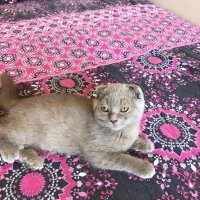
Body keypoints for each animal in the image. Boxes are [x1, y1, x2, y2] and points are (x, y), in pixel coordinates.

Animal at [0, 73, 155, 178]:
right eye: (104, 109)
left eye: (124, 109)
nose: (113, 120)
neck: (122, 131)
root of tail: (18, 102)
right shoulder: (96, 154)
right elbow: (124, 159)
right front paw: (145, 167)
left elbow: (133, 141)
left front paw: (145, 144)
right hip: (26, 131)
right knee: (3, 129)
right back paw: (10, 151)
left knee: (21, 146)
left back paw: (33, 159)